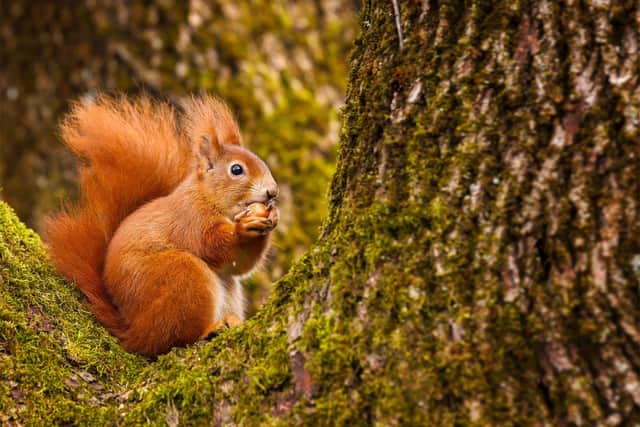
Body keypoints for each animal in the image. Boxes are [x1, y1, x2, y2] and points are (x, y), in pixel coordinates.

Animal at [42, 95, 278, 356]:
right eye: (236, 169)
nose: (272, 192)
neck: (208, 197)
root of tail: (133, 332)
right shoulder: (190, 219)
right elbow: (212, 244)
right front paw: (242, 229)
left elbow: (240, 264)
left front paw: (271, 217)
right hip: (182, 277)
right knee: (171, 340)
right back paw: (208, 330)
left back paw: (230, 321)